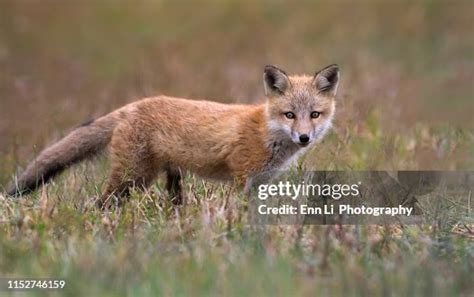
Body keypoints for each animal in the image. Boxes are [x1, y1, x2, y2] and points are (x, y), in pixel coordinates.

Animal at [7, 63, 340, 207]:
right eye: (289, 115)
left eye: (314, 115)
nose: (304, 138)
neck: (265, 131)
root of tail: (132, 106)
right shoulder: (241, 178)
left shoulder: (260, 183)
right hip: (133, 178)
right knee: (99, 203)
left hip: (166, 179)